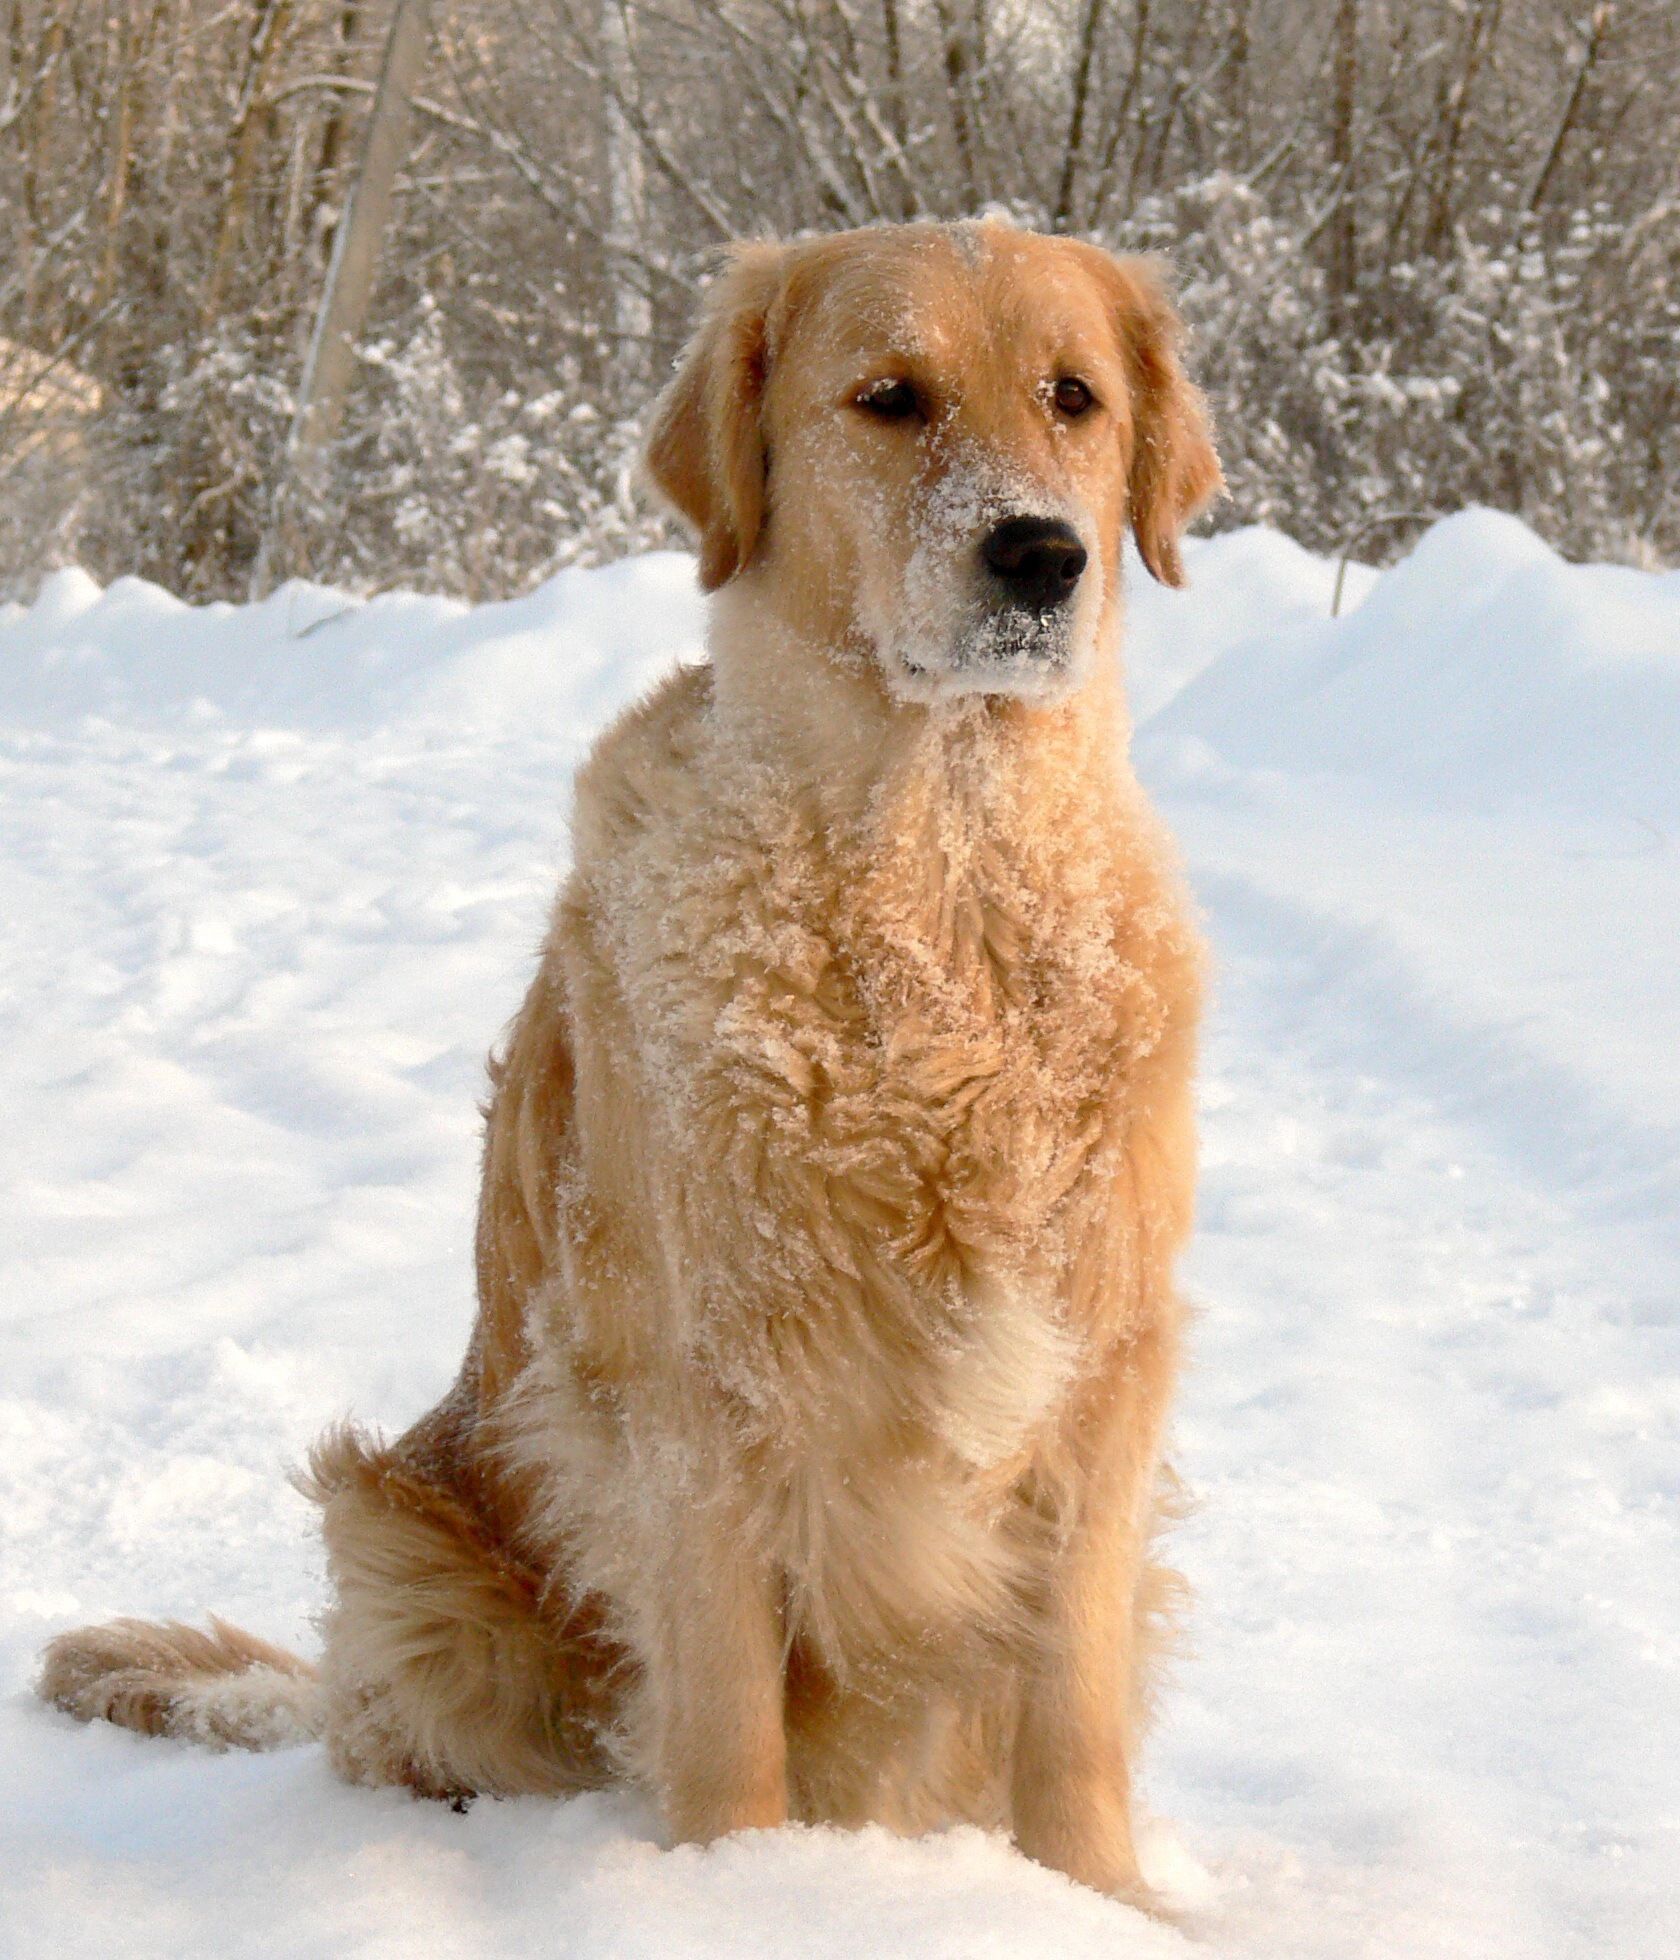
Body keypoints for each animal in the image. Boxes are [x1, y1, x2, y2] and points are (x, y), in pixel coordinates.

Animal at [39, 218, 1215, 1912]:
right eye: (890, 398)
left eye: (1075, 398)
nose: (1040, 556)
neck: (939, 889)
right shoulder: (695, 1386)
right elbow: (724, 1723)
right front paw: (740, 1903)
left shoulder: (1103, 1366)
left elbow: (1075, 1713)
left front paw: (1098, 1908)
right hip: (401, 1539)